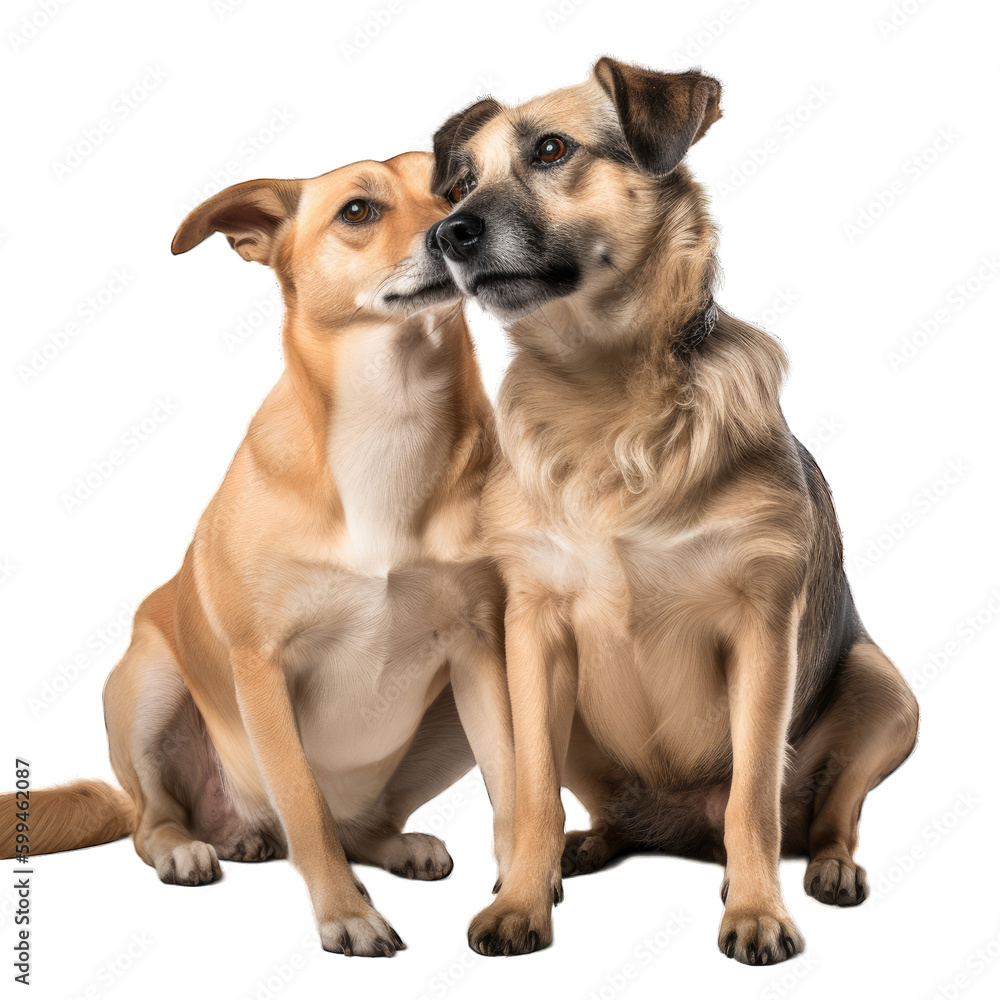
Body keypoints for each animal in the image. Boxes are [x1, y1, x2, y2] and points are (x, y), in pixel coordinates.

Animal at [426, 58, 916, 964]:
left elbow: (753, 796)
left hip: (885, 692)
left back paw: (827, 869)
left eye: (552, 150)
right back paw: (575, 852)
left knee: (827, 812)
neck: (605, 396)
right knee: (593, 808)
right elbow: (533, 789)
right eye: (462, 183)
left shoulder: (762, 630)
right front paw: (521, 900)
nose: (448, 235)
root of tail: (673, 826)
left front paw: (756, 911)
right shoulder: (533, 632)